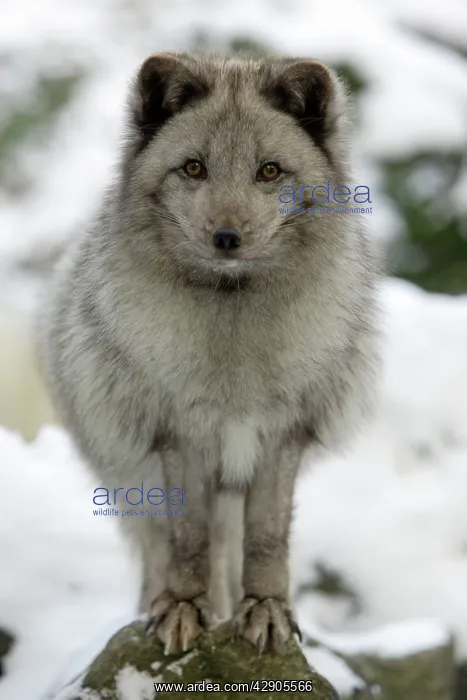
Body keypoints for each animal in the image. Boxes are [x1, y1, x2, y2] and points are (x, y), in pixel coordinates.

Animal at [39, 52, 379, 656]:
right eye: (194, 168)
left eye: (269, 171)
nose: (225, 237)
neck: (233, 344)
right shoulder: (180, 438)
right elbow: (189, 541)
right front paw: (183, 609)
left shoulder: (282, 437)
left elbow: (266, 542)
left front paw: (266, 609)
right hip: (132, 483)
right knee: (164, 548)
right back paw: (159, 606)